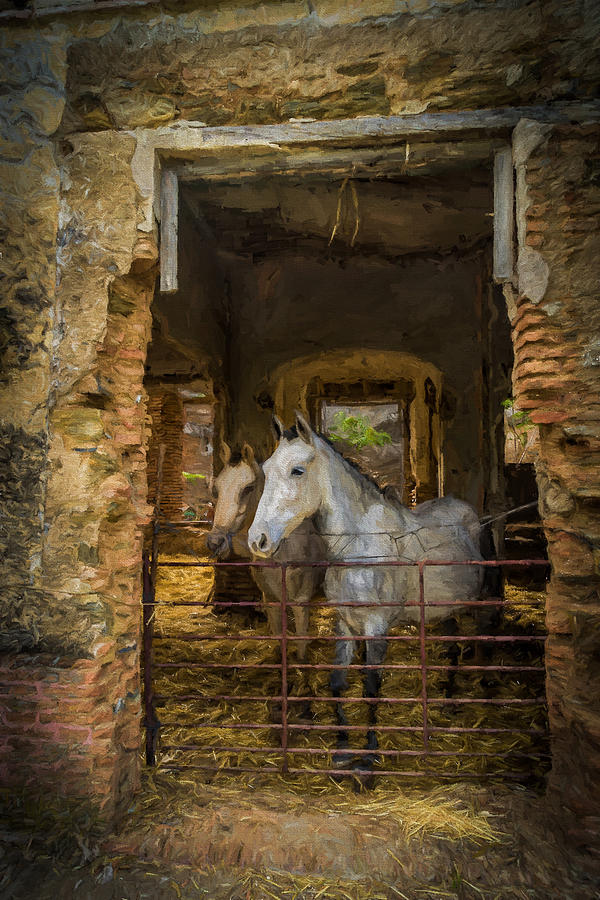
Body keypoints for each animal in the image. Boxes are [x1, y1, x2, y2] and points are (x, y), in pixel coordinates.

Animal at [246, 414, 486, 768]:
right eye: (265, 469)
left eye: (297, 470)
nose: (258, 540)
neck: (360, 546)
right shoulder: (345, 623)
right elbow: (338, 682)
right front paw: (343, 746)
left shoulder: (376, 626)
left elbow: (372, 686)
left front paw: (370, 752)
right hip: (444, 609)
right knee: (453, 648)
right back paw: (446, 698)